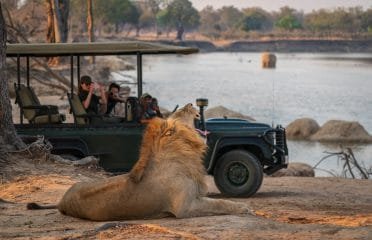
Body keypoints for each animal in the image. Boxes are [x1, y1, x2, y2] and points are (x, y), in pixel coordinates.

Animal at [27, 117, 251, 220]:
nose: (191, 103)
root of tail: (61, 201)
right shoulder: (184, 208)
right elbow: (220, 204)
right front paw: (245, 208)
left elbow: (219, 201)